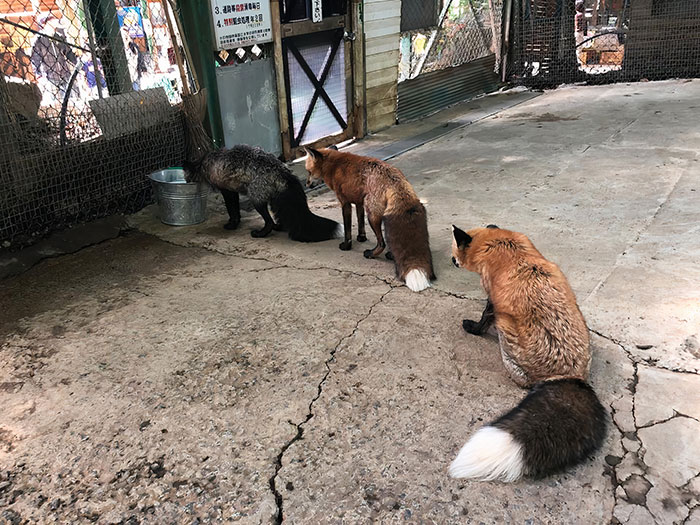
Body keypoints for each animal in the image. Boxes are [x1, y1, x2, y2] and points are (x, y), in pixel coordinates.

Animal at [184, 145, 342, 242]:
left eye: (186, 174)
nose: (185, 182)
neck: (205, 162)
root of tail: (283, 172)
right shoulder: (232, 191)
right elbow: (236, 211)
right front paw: (235, 222)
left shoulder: (227, 191)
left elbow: (232, 210)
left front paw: (232, 225)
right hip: (275, 201)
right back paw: (280, 227)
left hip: (257, 201)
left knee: (269, 222)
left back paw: (261, 233)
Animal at [304, 147, 435, 292]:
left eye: (309, 172)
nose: (306, 184)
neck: (333, 166)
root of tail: (395, 179)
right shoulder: (359, 202)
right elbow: (360, 222)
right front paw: (361, 238)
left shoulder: (345, 202)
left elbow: (348, 230)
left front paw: (347, 246)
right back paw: (391, 255)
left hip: (372, 215)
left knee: (382, 243)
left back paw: (371, 254)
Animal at [448, 224, 606, 482]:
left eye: (453, 248)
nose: (451, 260)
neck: (500, 242)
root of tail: (570, 376)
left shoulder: (492, 301)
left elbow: (483, 318)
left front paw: (473, 328)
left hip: (506, 333)